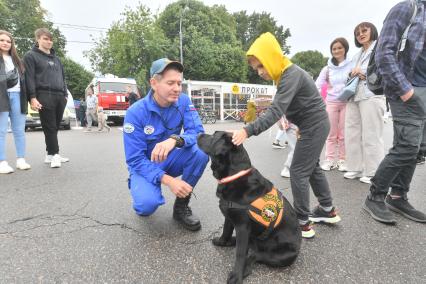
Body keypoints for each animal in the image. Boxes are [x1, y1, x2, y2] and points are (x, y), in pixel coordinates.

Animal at [198, 131, 302, 284]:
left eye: (213, 136)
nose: (199, 134)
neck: (234, 175)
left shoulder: (242, 226)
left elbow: (240, 254)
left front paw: (237, 276)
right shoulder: (229, 216)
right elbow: (226, 231)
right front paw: (222, 242)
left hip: (283, 255)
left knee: (255, 255)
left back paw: (245, 268)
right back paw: (232, 241)